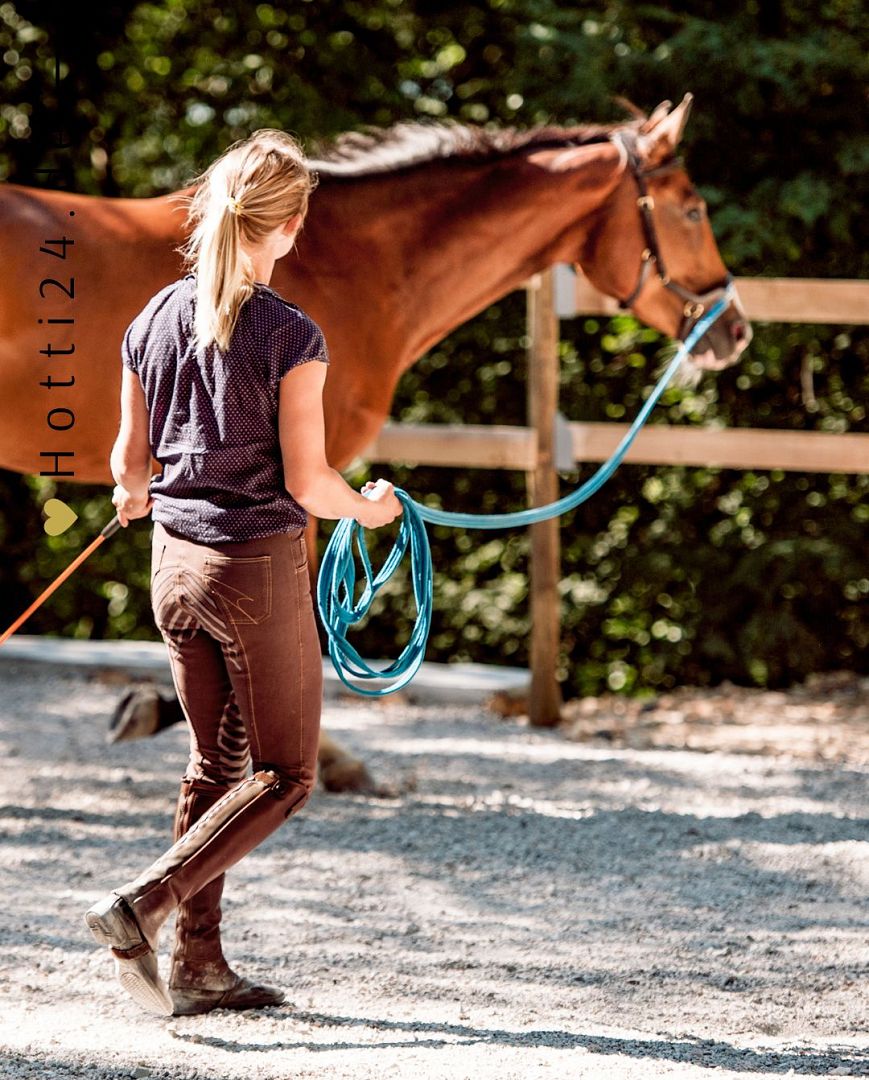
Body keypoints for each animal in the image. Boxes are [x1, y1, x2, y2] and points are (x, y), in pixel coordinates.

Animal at [0, 97, 747, 790]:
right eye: (691, 210)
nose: (733, 328)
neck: (351, 263)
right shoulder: (303, 481)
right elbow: (303, 623)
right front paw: (328, 759)